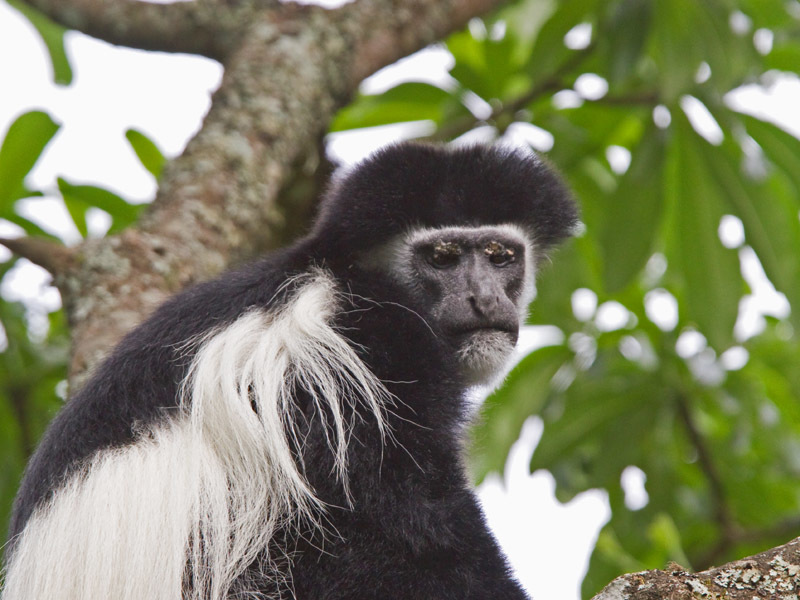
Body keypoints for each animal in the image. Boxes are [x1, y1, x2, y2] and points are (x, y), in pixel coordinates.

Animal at [0, 142, 576, 600]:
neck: (342, 272)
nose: (484, 299)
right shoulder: (370, 350)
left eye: (500, 256)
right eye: (442, 256)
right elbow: (402, 519)